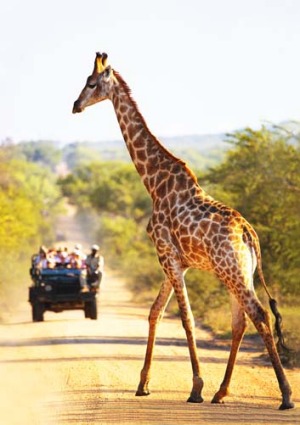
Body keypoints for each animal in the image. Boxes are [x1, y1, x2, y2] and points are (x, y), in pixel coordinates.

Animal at [73, 51, 296, 410]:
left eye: (92, 83)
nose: (75, 105)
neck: (153, 182)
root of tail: (249, 233)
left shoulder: (167, 256)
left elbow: (185, 318)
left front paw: (195, 387)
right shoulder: (176, 261)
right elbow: (154, 313)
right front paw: (143, 384)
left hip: (232, 272)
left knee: (259, 314)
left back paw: (285, 395)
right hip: (238, 273)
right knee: (239, 321)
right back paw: (222, 392)